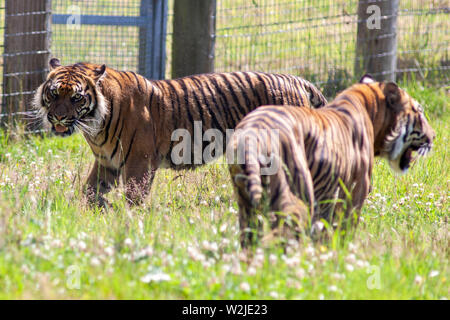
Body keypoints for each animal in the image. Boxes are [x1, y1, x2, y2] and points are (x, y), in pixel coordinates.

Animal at [32, 58, 326, 206]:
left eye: (76, 98)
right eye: (54, 93)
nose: (58, 117)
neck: (95, 125)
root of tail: (297, 80)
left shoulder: (139, 162)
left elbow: (133, 199)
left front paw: (129, 224)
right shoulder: (107, 163)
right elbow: (91, 193)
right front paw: (86, 217)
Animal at [229, 75, 436, 248]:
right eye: (419, 112)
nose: (434, 135)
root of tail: (253, 132)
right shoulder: (356, 190)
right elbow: (343, 230)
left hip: (246, 204)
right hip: (297, 196)